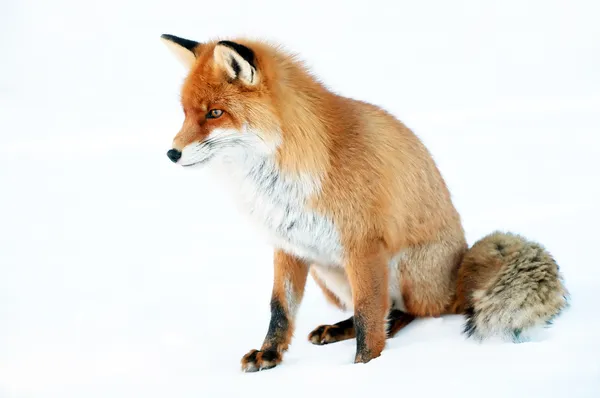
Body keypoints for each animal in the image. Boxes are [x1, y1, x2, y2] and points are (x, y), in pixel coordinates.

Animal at [158, 34, 568, 374]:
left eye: (215, 113)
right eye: (185, 112)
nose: (172, 153)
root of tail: (459, 273)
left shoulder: (364, 246)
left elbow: (369, 315)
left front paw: (365, 368)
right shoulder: (288, 246)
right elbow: (280, 310)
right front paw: (269, 355)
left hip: (401, 267)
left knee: (409, 311)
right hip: (327, 272)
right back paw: (335, 328)